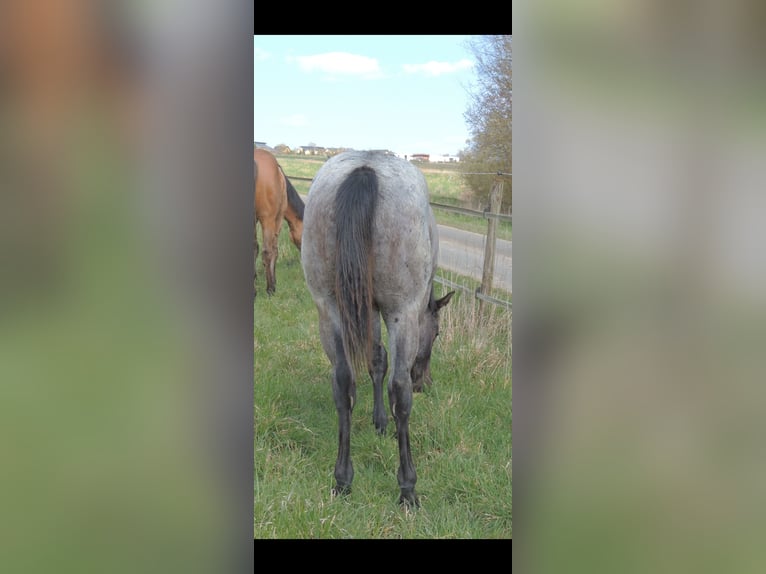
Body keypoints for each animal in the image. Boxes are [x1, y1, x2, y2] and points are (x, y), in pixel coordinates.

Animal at [253, 148, 304, 297]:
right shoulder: (276, 219)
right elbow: (273, 251)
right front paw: (273, 284)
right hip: (268, 220)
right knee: (267, 252)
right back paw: (270, 289)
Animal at [300, 150, 454, 507]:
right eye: (437, 333)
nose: (425, 382)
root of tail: (365, 168)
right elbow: (388, 370)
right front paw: (387, 423)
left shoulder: (363, 306)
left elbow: (375, 359)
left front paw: (378, 419)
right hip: (401, 313)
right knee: (400, 389)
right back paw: (407, 487)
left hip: (328, 308)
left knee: (343, 383)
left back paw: (343, 478)